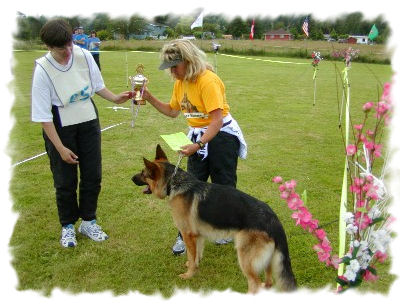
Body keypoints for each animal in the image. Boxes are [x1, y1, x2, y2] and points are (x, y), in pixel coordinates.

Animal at [133, 145, 296, 292]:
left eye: (142, 173)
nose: (131, 178)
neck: (173, 182)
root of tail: (273, 218)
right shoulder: (197, 236)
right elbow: (196, 255)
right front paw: (193, 266)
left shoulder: (187, 234)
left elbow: (191, 256)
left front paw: (188, 275)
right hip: (267, 260)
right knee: (268, 281)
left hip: (245, 258)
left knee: (254, 284)